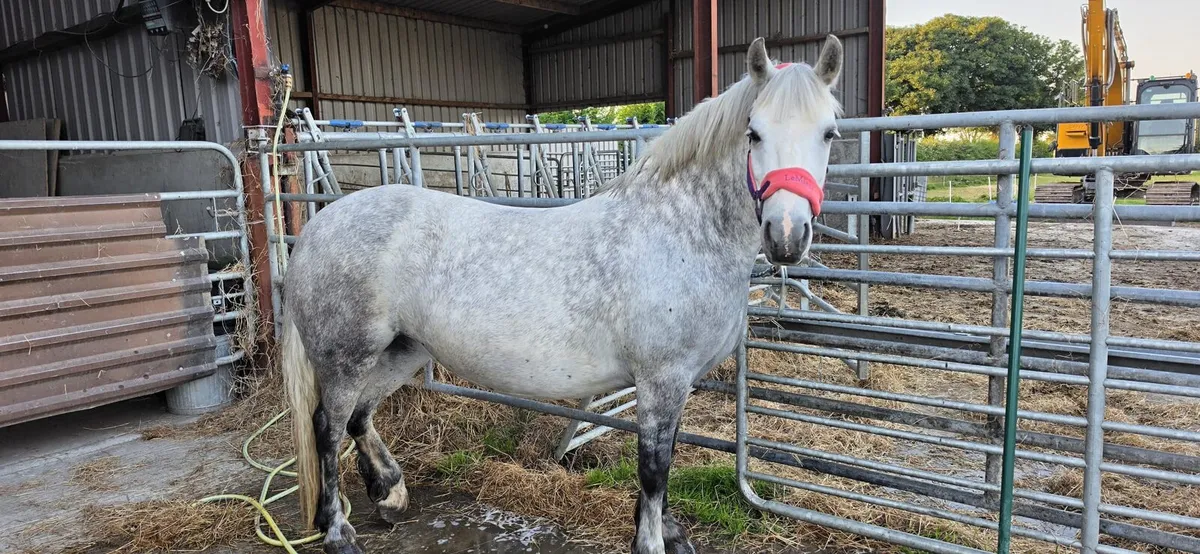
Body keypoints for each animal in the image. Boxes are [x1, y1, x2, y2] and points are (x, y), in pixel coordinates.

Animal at [282, 35, 844, 554]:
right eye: (754, 133)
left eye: (829, 133)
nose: (786, 235)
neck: (679, 232)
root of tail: (318, 226)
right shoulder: (661, 379)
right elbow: (654, 466)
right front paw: (652, 541)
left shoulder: (676, 382)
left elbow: (667, 456)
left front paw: (665, 530)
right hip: (347, 357)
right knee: (327, 428)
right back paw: (338, 532)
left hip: (402, 349)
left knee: (359, 416)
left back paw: (390, 493)